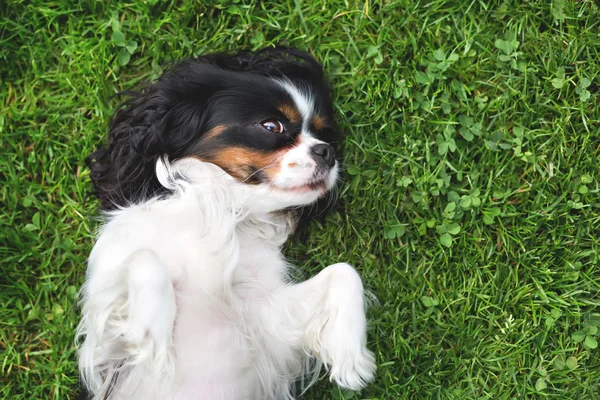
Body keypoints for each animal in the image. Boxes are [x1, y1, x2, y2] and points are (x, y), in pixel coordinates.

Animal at [75, 49, 376, 400]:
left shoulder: (266, 316)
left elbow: (344, 271)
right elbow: (144, 259)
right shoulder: (106, 343)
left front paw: (351, 357)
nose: (326, 151)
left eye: (323, 135)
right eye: (271, 125)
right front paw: (149, 330)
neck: (225, 209)